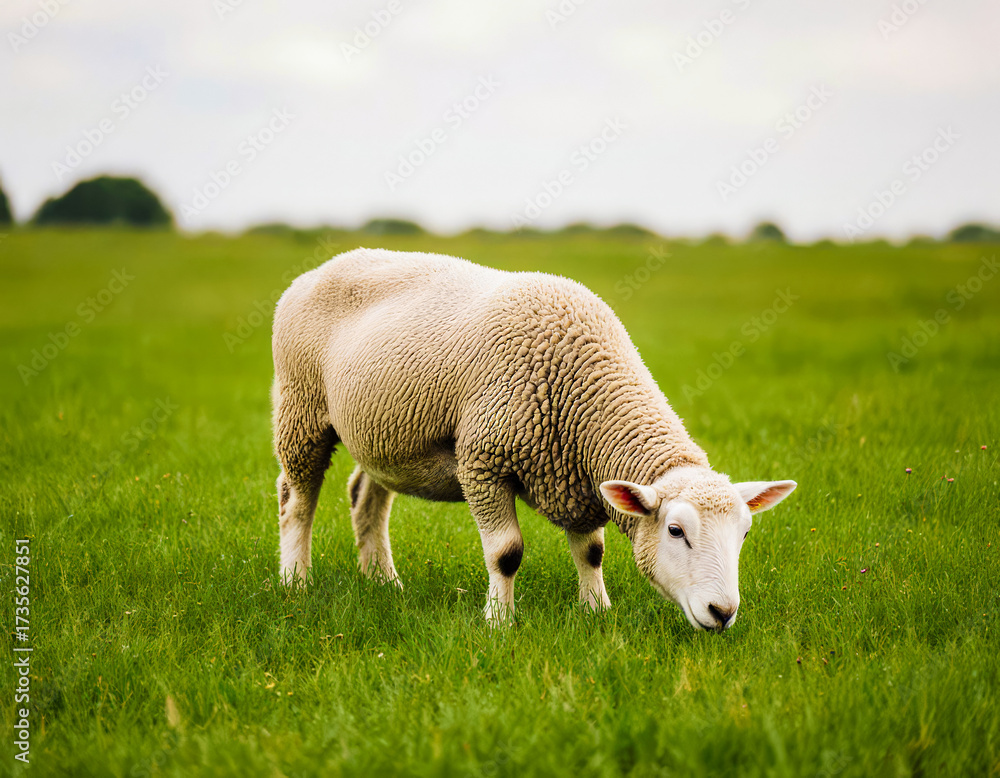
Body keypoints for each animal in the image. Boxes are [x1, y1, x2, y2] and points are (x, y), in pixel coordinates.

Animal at [271, 247, 797, 629]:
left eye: (745, 533)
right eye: (675, 531)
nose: (723, 613)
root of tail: (322, 267)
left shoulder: (577, 478)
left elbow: (591, 552)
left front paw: (596, 610)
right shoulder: (483, 462)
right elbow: (506, 554)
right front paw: (499, 621)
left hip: (383, 433)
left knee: (366, 499)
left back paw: (383, 582)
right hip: (301, 408)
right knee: (296, 499)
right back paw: (296, 581)